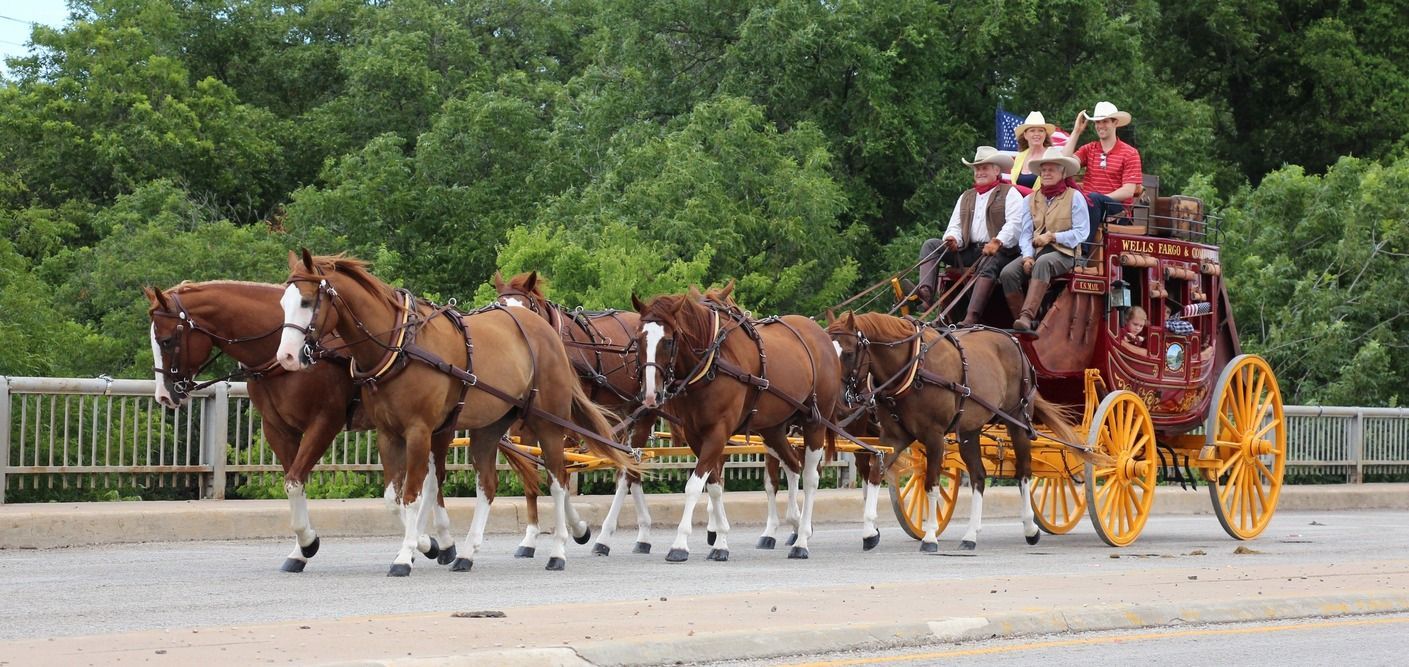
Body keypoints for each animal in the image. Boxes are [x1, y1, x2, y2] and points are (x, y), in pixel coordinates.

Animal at [145, 281, 542, 571]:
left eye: (167, 339)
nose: (165, 395)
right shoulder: (278, 429)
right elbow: (294, 483)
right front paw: (300, 548)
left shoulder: (325, 421)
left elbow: (295, 481)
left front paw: (309, 542)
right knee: (436, 479)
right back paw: (442, 542)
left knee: (446, 479)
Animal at [276, 251, 635, 575]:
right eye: (283, 304)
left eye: (307, 301)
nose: (287, 356)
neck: (401, 346)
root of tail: (547, 334)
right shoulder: (388, 434)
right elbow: (394, 497)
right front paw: (428, 545)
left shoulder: (419, 431)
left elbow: (413, 495)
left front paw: (407, 555)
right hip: (491, 427)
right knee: (488, 485)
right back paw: (467, 553)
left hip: (547, 423)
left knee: (559, 480)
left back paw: (559, 550)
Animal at [493, 271, 658, 557]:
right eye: (501, 308)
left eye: (529, 309)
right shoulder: (521, 427)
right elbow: (530, 477)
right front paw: (530, 538)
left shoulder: (565, 424)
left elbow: (562, 472)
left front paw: (578, 530)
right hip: (618, 414)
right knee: (630, 467)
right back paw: (644, 535)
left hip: (644, 413)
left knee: (627, 471)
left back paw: (605, 538)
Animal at [632, 286, 842, 561]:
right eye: (638, 340)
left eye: (667, 341)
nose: (650, 395)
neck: (712, 362)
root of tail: (822, 336)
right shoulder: (695, 435)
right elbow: (713, 487)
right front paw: (720, 540)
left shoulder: (718, 433)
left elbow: (693, 486)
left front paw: (680, 544)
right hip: (773, 429)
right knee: (793, 465)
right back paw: (794, 524)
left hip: (814, 422)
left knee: (809, 477)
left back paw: (802, 540)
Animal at [827, 311, 1088, 551]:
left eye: (848, 352)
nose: (837, 402)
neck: (913, 369)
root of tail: (1014, 341)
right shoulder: (894, 437)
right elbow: (874, 475)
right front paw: (869, 532)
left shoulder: (934, 437)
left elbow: (931, 483)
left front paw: (930, 536)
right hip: (970, 431)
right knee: (979, 477)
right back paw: (970, 535)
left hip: (1017, 421)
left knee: (1023, 471)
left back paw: (1030, 528)